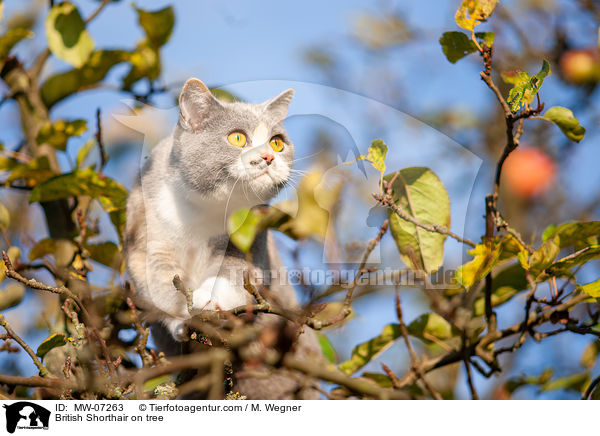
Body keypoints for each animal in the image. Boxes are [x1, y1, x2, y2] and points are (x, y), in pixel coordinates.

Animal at [123, 78, 322, 398]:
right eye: (237, 138)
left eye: (277, 142)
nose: (268, 157)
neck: (201, 212)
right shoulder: (145, 236)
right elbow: (159, 282)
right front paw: (184, 317)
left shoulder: (252, 236)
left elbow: (235, 274)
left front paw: (210, 300)